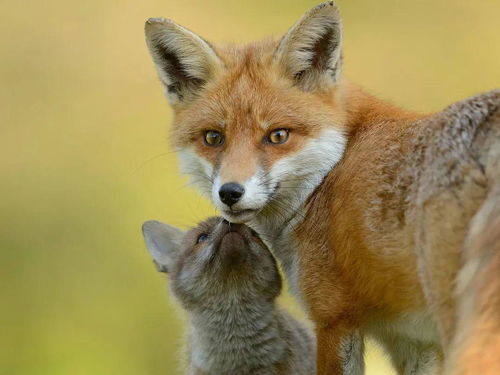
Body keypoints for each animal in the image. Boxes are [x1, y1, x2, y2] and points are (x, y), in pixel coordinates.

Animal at [144, 1, 500, 374]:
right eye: (213, 138)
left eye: (278, 136)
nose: (230, 193)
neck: (329, 174)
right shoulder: (414, 341)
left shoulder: (333, 319)